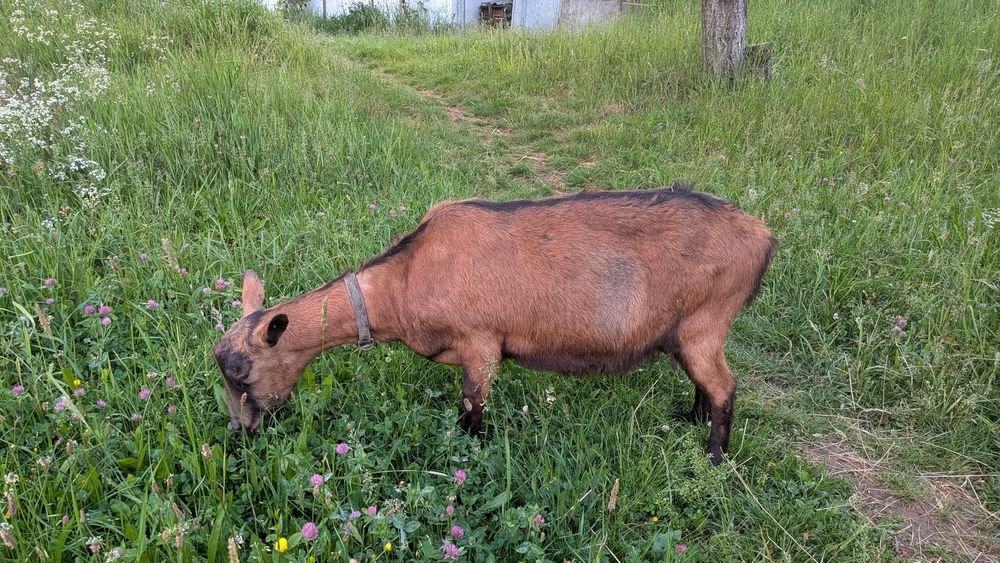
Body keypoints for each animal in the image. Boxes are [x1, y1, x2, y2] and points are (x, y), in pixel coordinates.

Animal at [212, 185, 777, 465]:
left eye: (242, 375)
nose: (242, 433)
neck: (405, 277)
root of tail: (762, 237)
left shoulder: (481, 344)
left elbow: (471, 407)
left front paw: (470, 455)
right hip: (686, 331)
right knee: (705, 382)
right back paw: (690, 418)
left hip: (707, 322)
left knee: (725, 387)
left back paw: (714, 457)